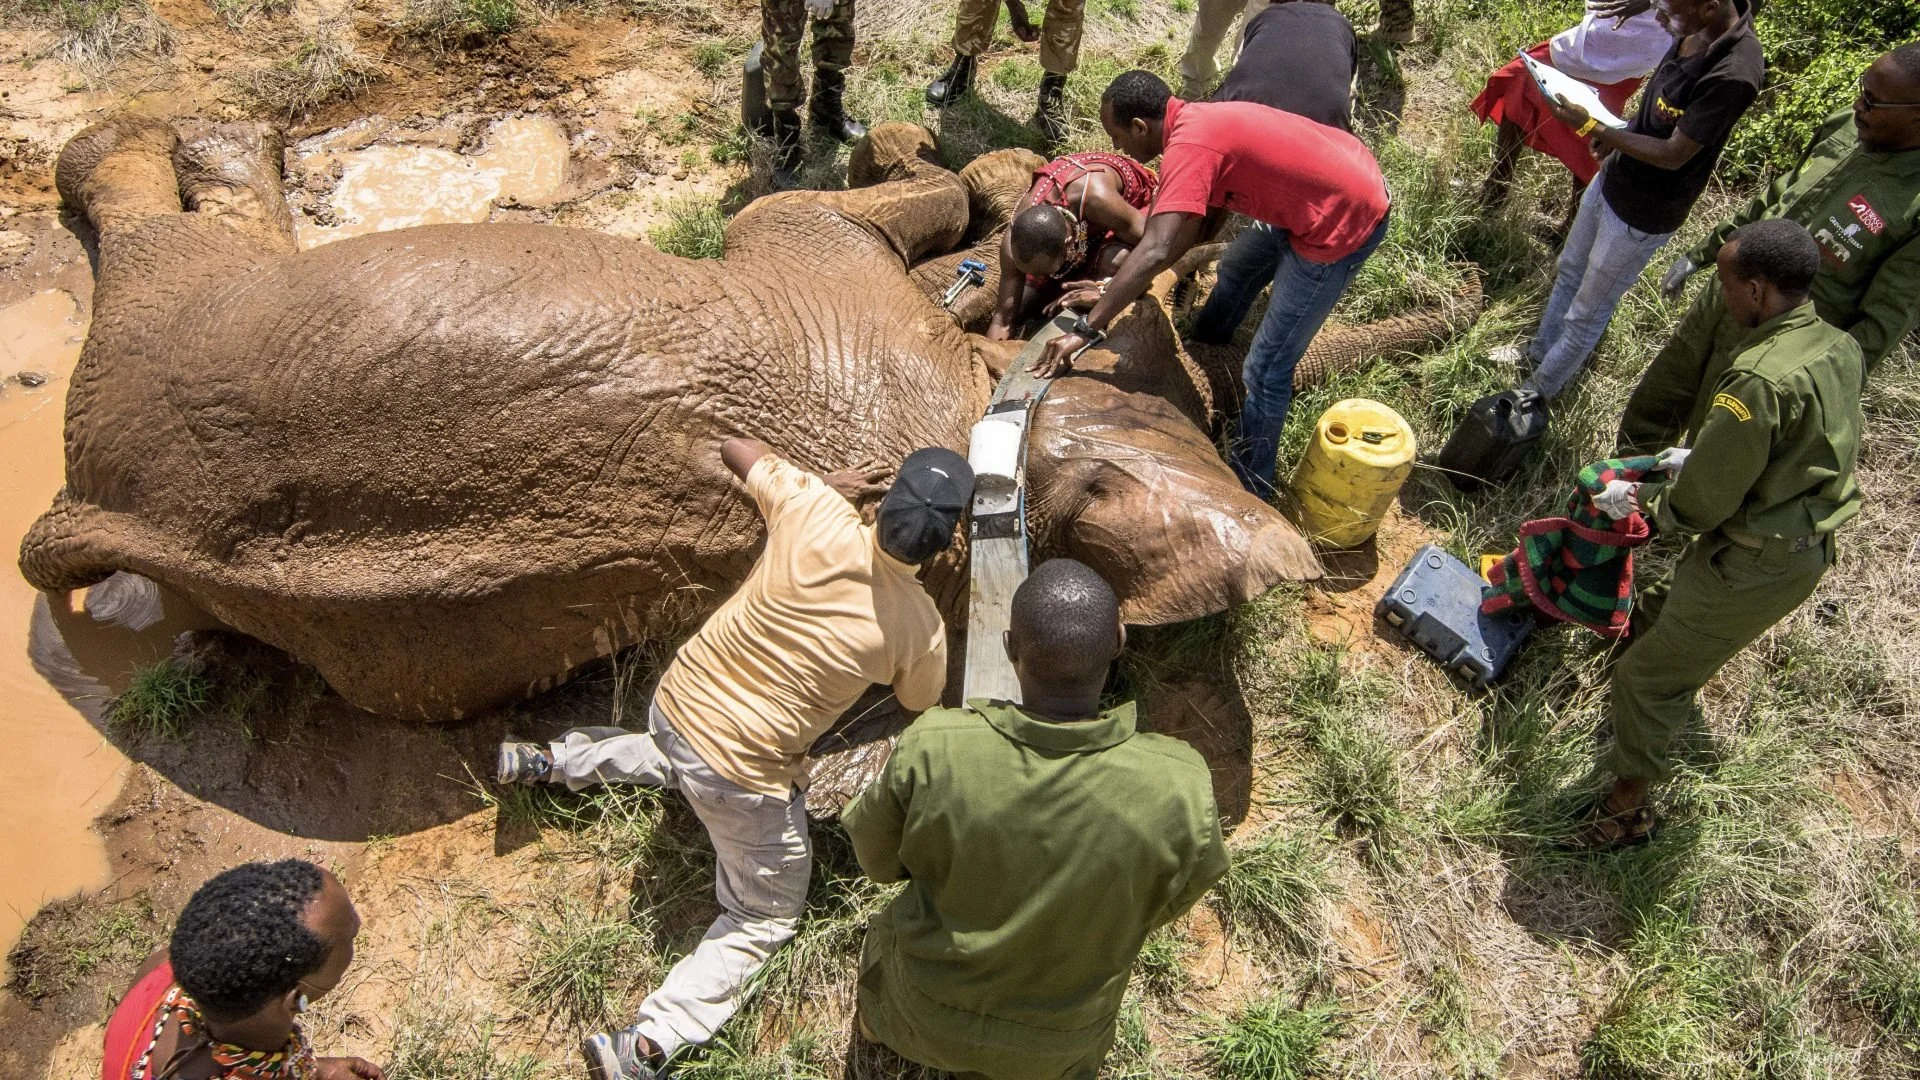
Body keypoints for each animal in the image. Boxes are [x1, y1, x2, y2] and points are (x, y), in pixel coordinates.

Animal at [22, 117, 1391, 723]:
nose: (1122, 209)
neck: (1001, 425)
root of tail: (90, 510)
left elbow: (839, 207)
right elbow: (906, 202)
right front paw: (988, 200)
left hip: (188, 318)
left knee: (174, 240)